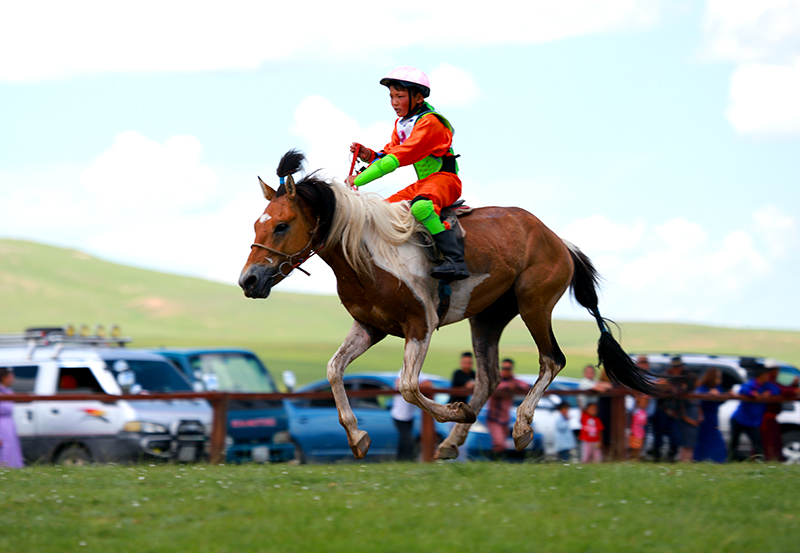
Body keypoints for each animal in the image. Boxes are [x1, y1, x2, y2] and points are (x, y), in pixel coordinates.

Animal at [238, 149, 656, 460]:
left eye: (281, 225)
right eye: (257, 226)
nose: (248, 281)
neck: (369, 253)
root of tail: (556, 239)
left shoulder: (420, 325)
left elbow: (408, 386)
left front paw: (454, 409)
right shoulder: (370, 327)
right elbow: (333, 370)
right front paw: (357, 436)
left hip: (534, 304)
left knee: (551, 360)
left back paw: (521, 427)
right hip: (488, 318)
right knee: (488, 378)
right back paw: (452, 442)